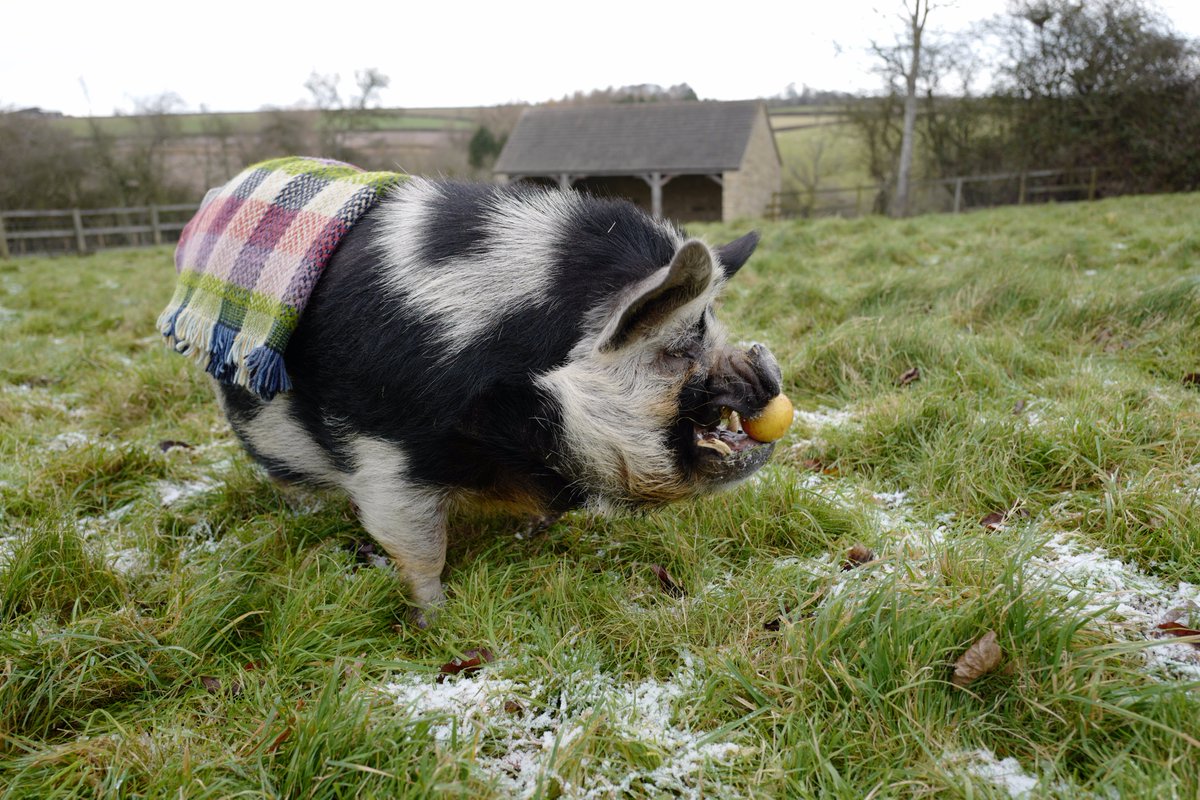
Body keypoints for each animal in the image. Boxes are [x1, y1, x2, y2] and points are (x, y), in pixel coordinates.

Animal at [215, 178, 783, 617]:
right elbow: (419, 548)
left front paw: (529, 534)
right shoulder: (385, 451)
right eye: (679, 350)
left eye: (714, 331)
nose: (768, 372)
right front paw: (436, 620)